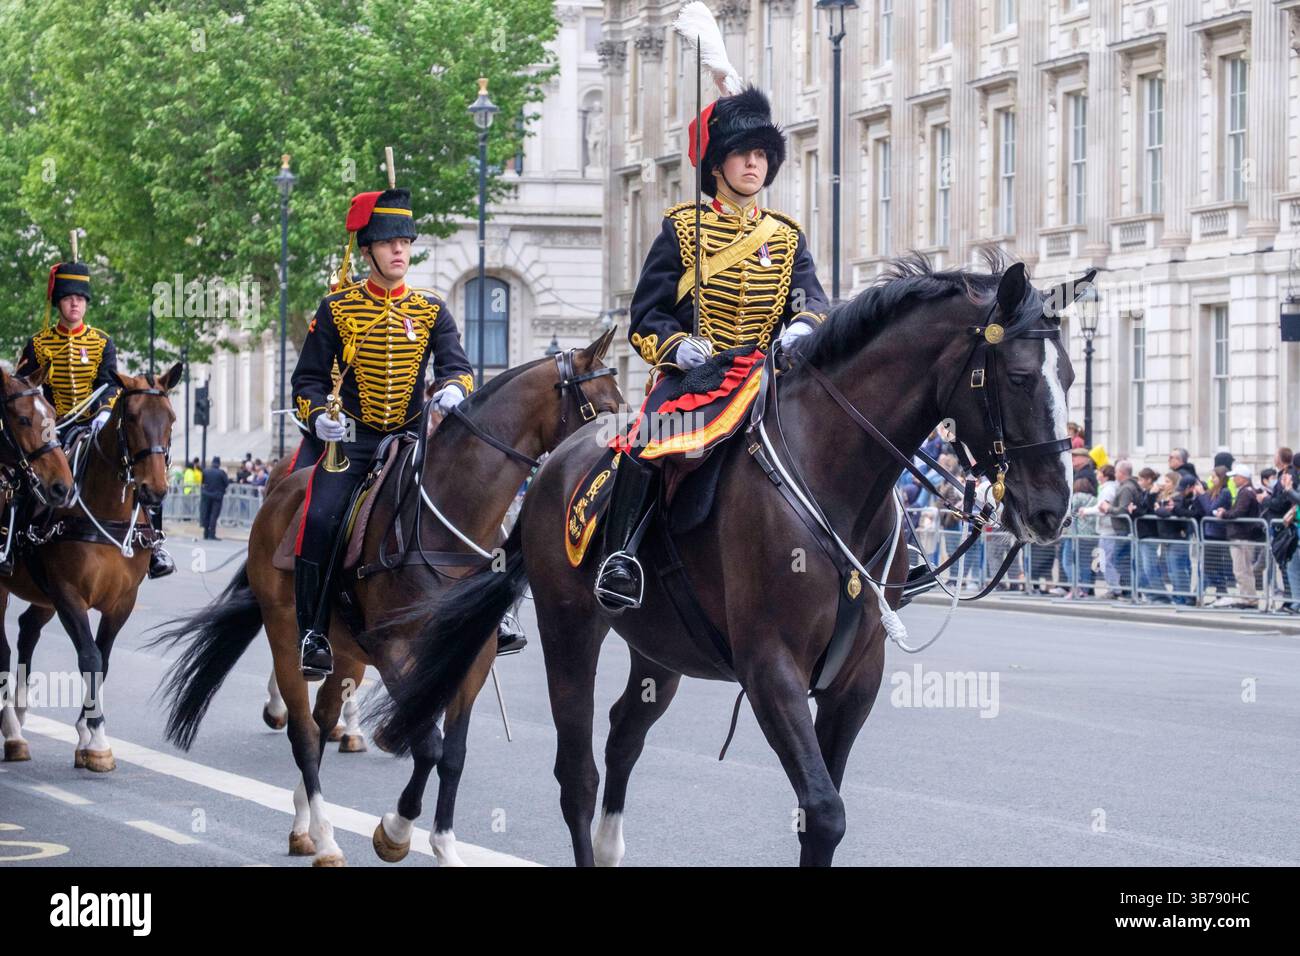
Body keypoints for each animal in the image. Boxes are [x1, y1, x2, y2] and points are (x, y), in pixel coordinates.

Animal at [0, 364, 181, 770]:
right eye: (132, 417)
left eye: (172, 419)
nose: (155, 490)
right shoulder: (68, 594)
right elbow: (90, 656)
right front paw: (95, 737)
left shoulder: (122, 601)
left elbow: (105, 658)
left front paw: (88, 732)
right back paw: (12, 730)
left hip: (42, 594)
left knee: (27, 630)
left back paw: (18, 713)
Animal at [151, 332, 622, 867]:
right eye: (605, 409)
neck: (444, 522)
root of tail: (281, 491)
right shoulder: (392, 650)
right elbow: (428, 744)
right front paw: (396, 830)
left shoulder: (470, 658)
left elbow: (451, 753)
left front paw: (442, 845)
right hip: (287, 633)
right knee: (305, 734)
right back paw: (324, 835)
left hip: (344, 649)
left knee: (323, 720)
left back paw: (305, 818)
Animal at [372, 257, 1091, 866]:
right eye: (1020, 377)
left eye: (1072, 377)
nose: (1053, 510)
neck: (835, 478)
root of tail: (553, 467)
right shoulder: (770, 666)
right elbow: (824, 810)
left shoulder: (854, 678)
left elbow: (819, 813)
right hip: (570, 628)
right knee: (577, 773)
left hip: (660, 649)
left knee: (623, 734)